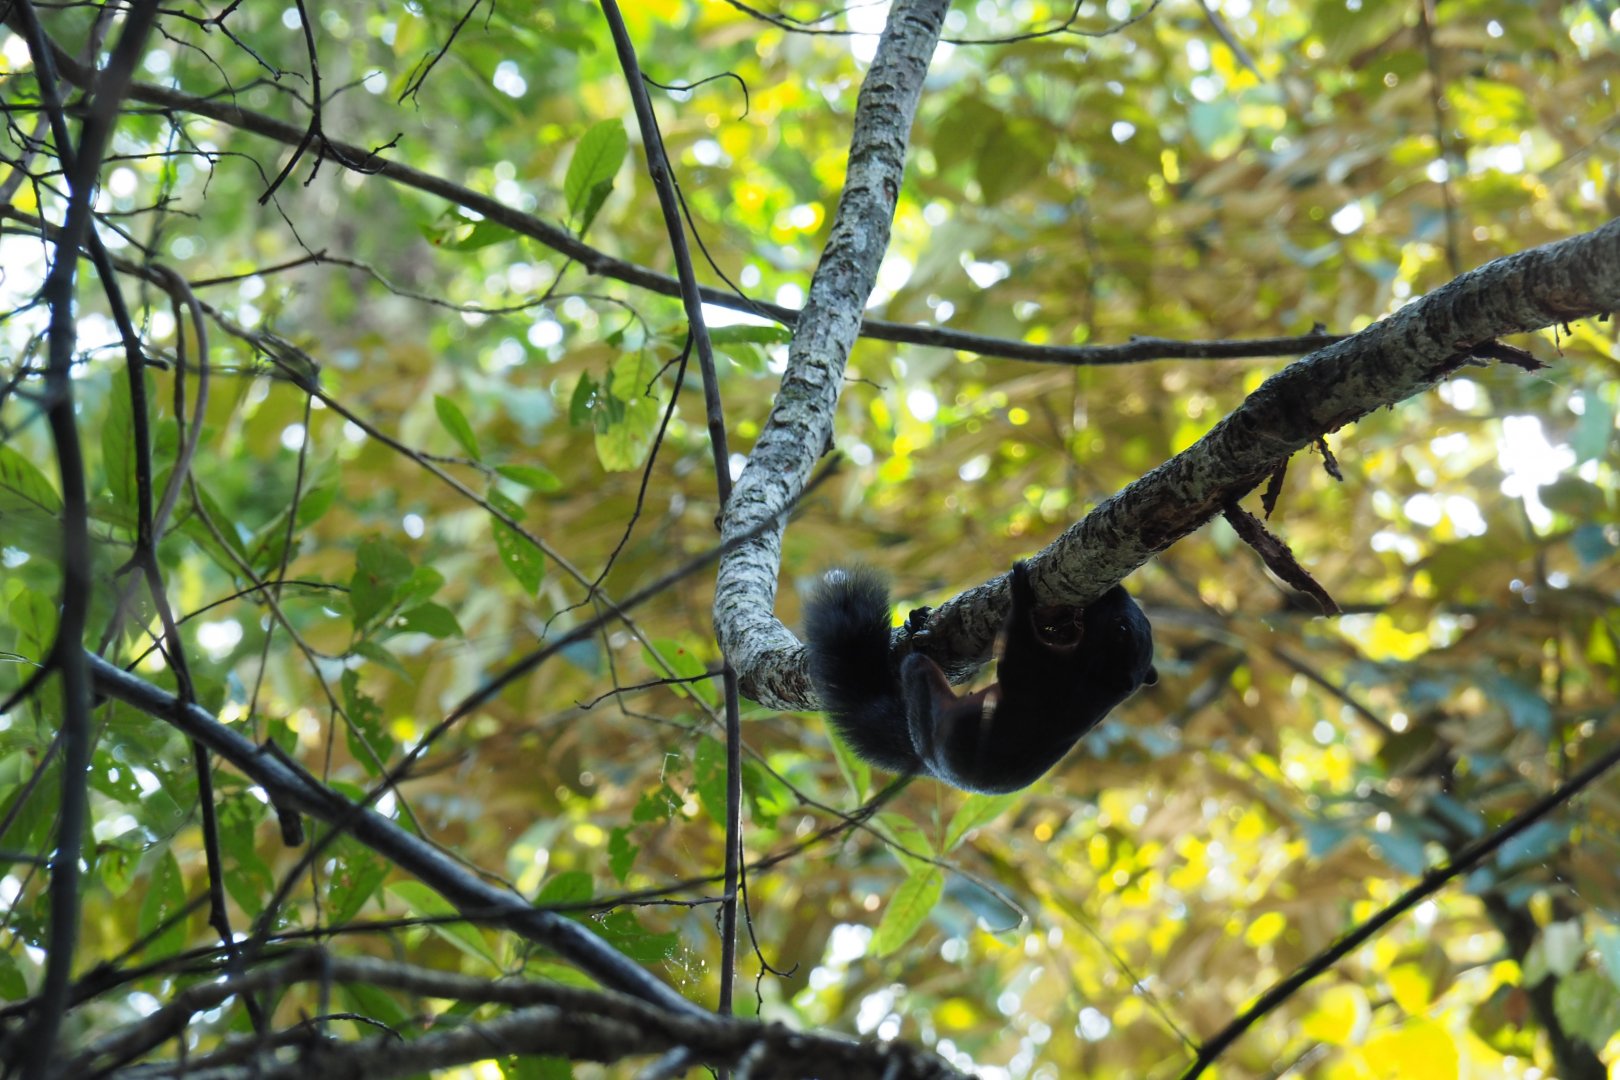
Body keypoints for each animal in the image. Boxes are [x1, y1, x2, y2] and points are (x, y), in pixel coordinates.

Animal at [804, 562, 1157, 794]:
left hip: (928, 699)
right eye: (1137, 619)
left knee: (916, 670)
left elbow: (1016, 653)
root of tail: (930, 766)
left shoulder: (1048, 678)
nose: (1117, 591)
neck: (1099, 682)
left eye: (1122, 628)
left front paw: (1020, 588)